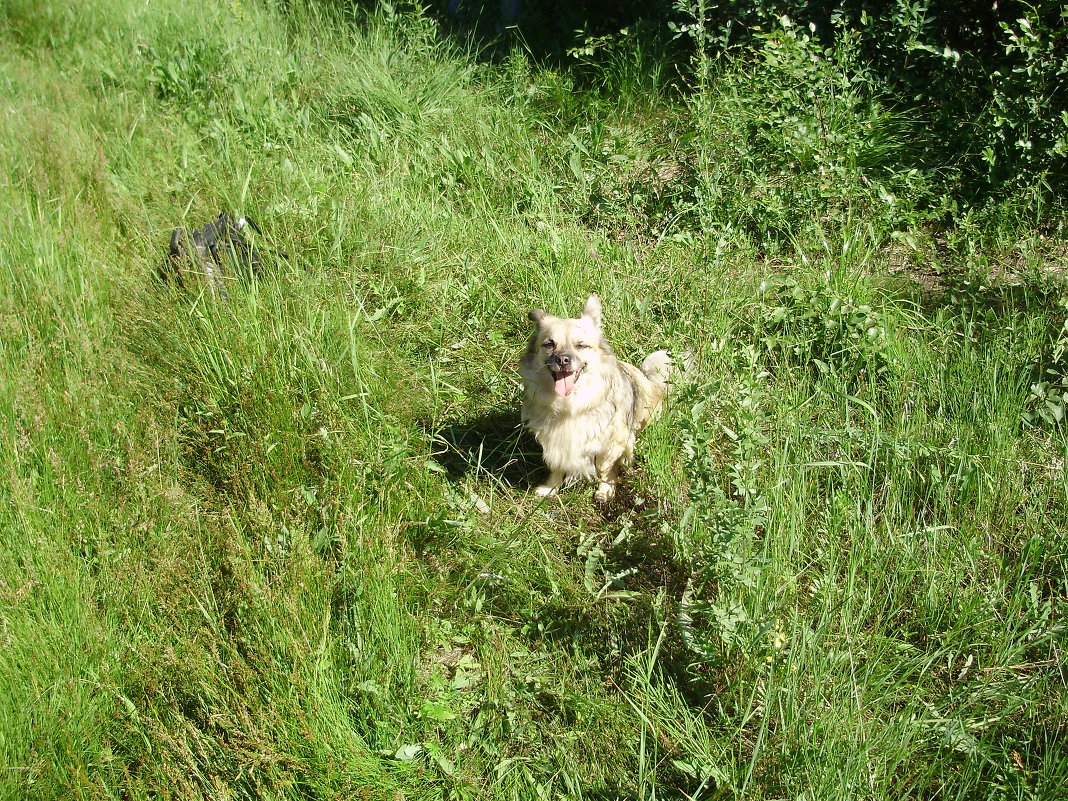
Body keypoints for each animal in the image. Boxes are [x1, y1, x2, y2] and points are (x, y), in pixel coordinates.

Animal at [519, 299, 674, 504]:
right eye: (549, 344)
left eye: (581, 346)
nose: (562, 359)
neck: (571, 404)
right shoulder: (555, 440)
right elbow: (556, 464)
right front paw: (550, 488)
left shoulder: (613, 442)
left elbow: (604, 468)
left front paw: (606, 490)